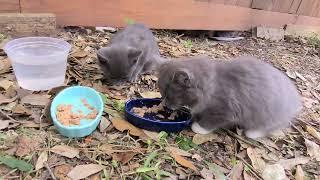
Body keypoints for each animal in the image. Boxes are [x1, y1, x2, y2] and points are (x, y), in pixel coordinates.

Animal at [159, 55, 302, 139]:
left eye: (168, 95)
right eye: (162, 93)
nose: (165, 104)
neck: (212, 85)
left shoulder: (224, 110)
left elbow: (210, 121)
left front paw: (198, 127)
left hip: (268, 115)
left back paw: (252, 133)